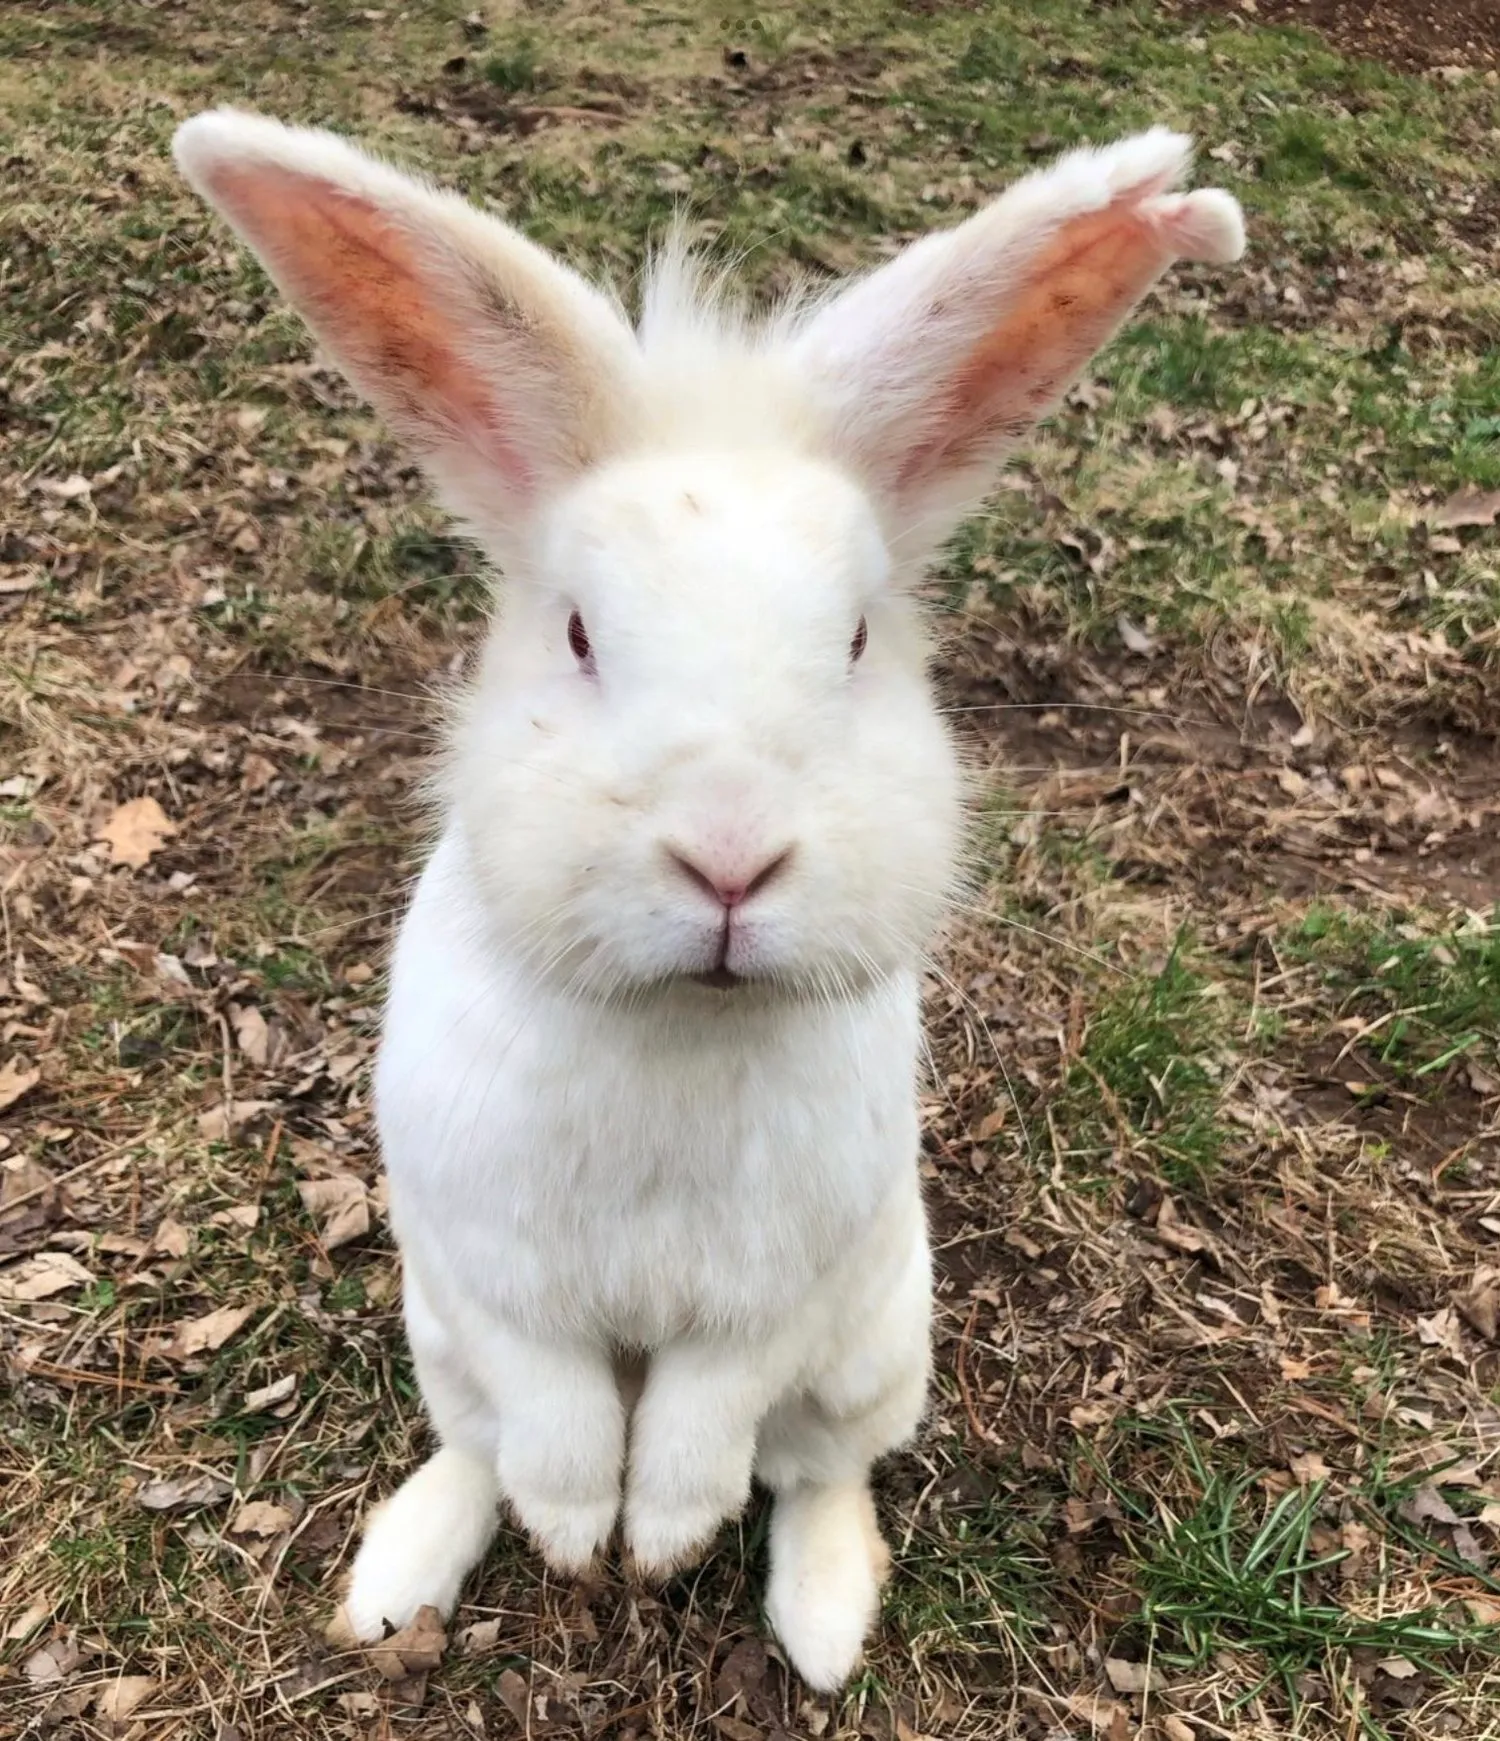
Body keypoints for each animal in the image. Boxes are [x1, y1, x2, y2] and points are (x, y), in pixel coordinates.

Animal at [174, 108, 1244, 1690]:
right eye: (576, 634)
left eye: (856, 640)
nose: (730, 857)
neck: (680, 1016)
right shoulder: (499, 1276)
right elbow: (559, 1418)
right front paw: (580, 1538)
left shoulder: (771, 1300)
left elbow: (702, 1419)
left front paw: (663, 1540)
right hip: (440, 1340)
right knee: (481, 1446)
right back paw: (394, 1583)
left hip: (877, 1346)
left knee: (815, 1470)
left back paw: (822, 1622)